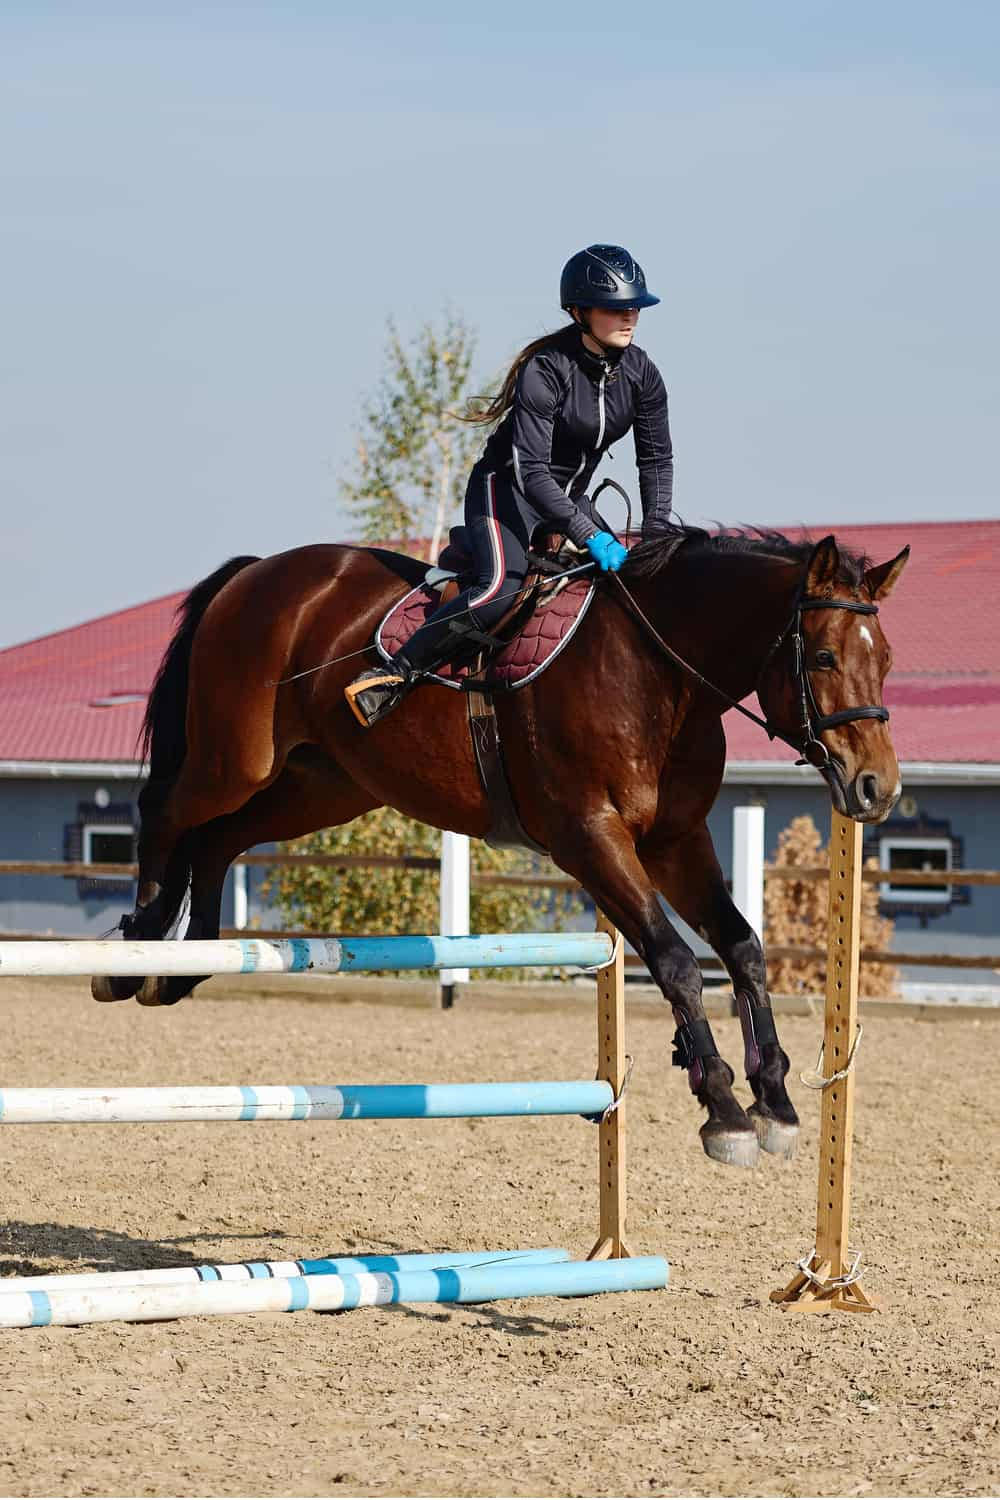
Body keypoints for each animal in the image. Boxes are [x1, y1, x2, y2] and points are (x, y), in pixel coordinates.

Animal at [93, 528, 905, 1170]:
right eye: (824, 658)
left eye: (888, 660)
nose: (877, 788)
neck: (660, 676)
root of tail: (257, 572)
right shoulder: (590, 837)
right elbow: (675, 960)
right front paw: (724, 1109)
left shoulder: (677, 841)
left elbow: (741, 948)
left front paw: (775, 1101)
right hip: (236, 760)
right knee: (165, 812)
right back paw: (132, 953)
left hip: (321, 787)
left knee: (219, 837)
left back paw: (184, 963)